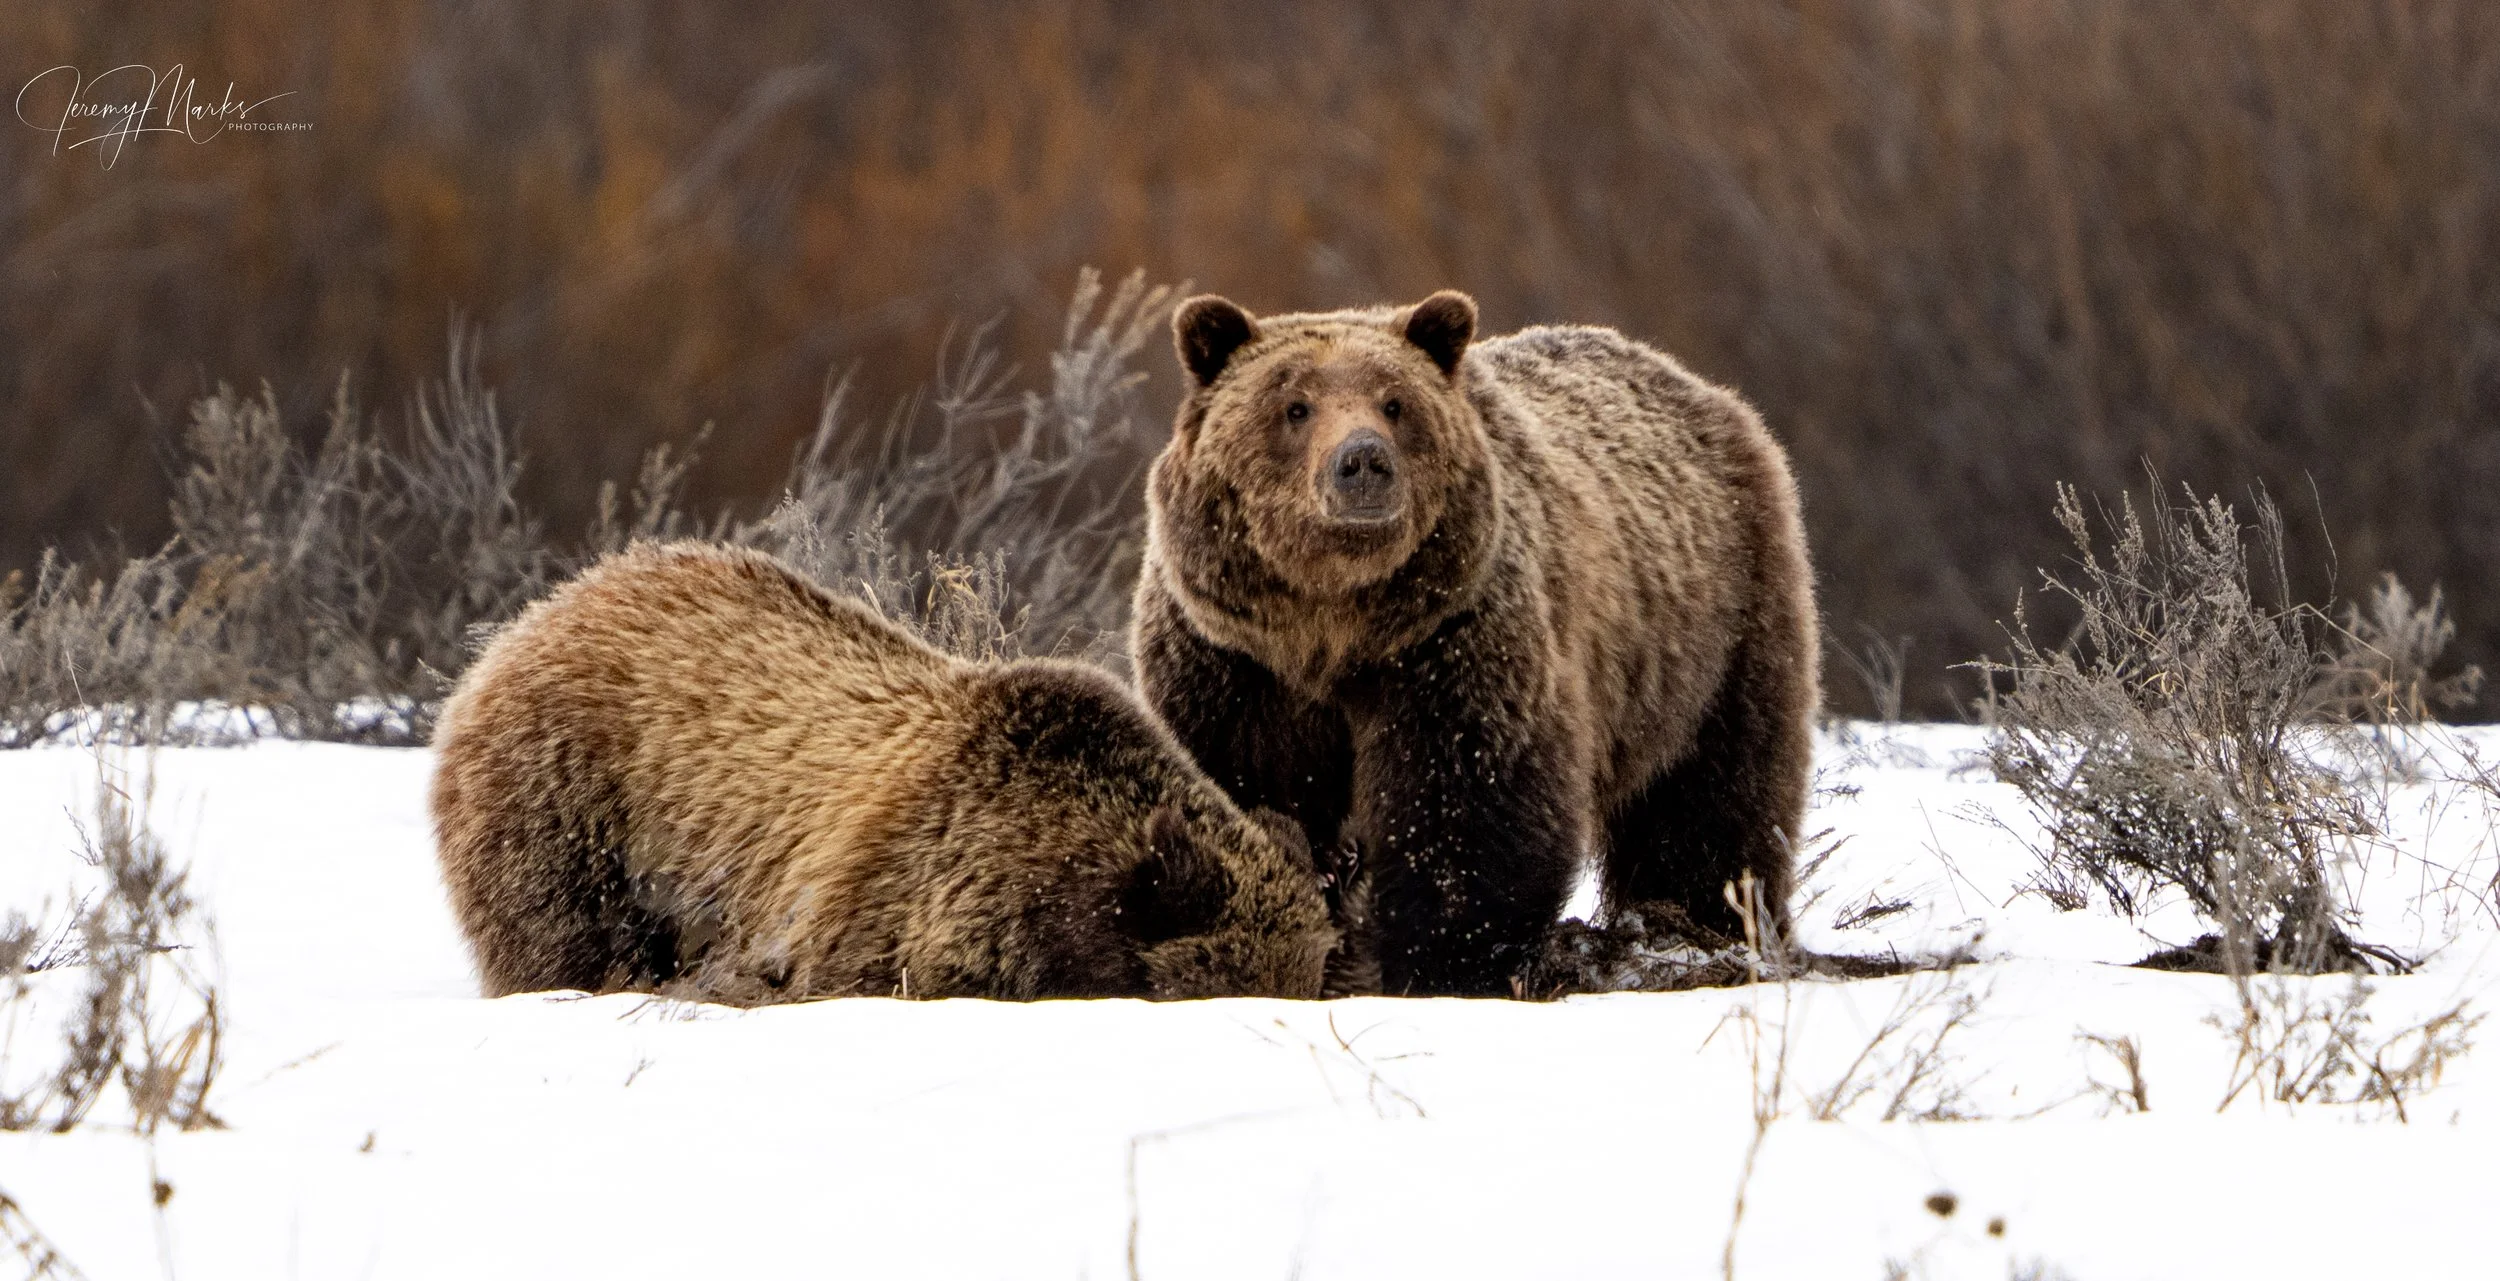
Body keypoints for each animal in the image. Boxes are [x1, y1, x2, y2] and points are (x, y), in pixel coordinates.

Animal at [1132, 291, 1819, 996]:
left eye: (1394, 402)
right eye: (1294, 405)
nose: (1363, 460)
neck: (1331, 626)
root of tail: (1700, 387)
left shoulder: (1450, 642)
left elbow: (1468, 806)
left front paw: (1443, 962)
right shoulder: (1233, 663)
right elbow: (1241, 784)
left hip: (1715, 629)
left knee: (1716, 795)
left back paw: (1707, 923)